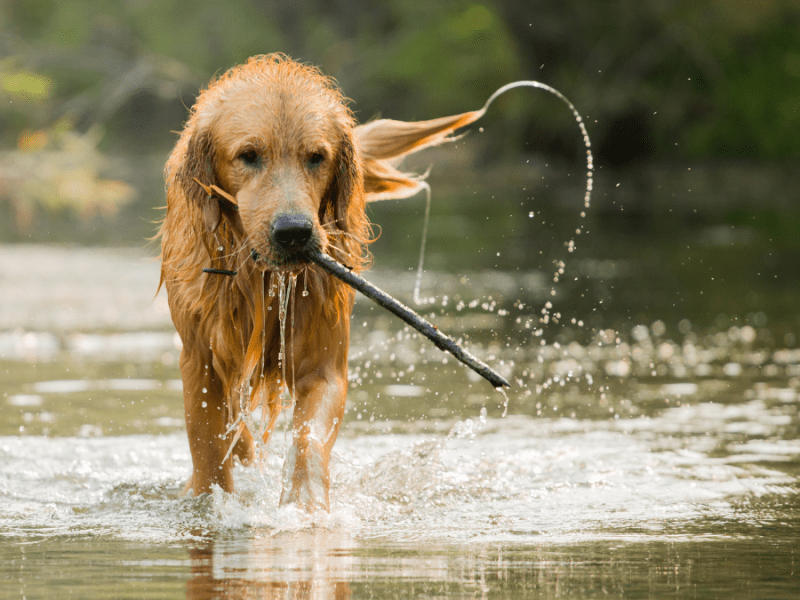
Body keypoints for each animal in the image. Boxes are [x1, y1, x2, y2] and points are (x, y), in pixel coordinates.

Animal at [159, 54, 484, 508]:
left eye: (316, 157)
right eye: (248, 155)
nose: (293, 232)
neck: (263, 281)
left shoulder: (324, 363)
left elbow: (308, 438)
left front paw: (306, 506)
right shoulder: (200, 362)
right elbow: (208, 455)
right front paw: (210, 498)